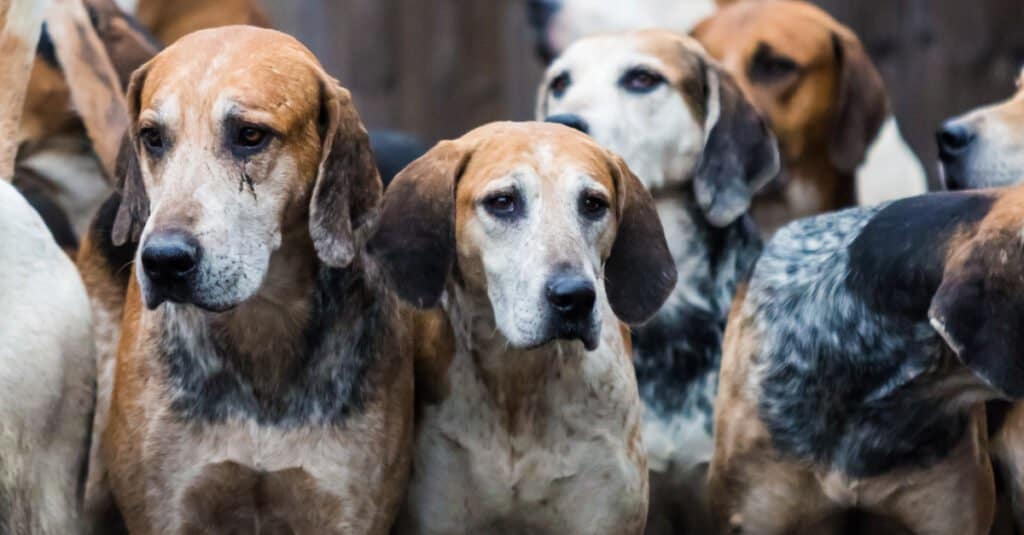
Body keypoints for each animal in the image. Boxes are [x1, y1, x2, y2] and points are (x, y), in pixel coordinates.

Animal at [82, 27, 411, 528]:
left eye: (250, 136)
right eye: (152, 137)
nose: (163, 260)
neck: (262, 322)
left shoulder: (348, 511)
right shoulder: (164, 511)